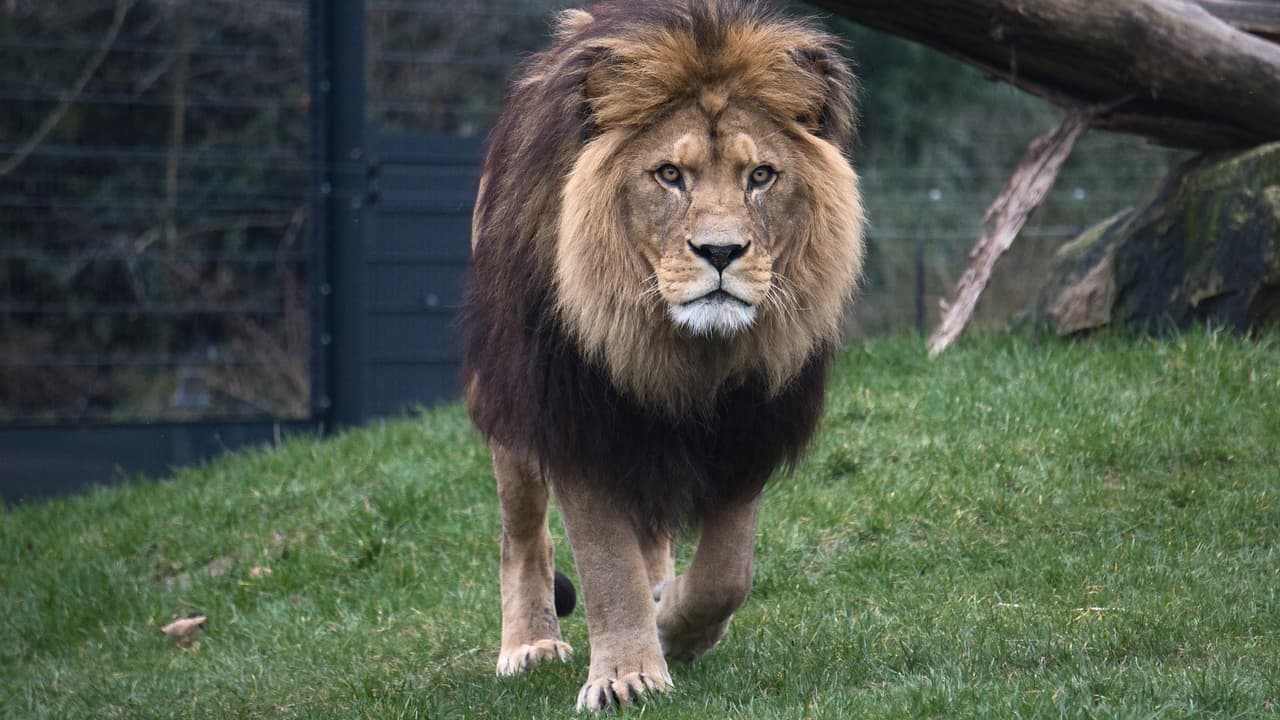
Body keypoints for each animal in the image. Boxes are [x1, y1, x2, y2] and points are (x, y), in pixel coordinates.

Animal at [455, 0, 865, 707]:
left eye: (761, 176)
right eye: (670, 176)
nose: (721, 252)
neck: (681, 351)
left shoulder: (751, 423)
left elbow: (728, 571)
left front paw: (676, 628)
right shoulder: (576, 415)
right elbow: (604, 563)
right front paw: (627, 677)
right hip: (509, 399)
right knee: (523, 533)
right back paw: (531, 644)